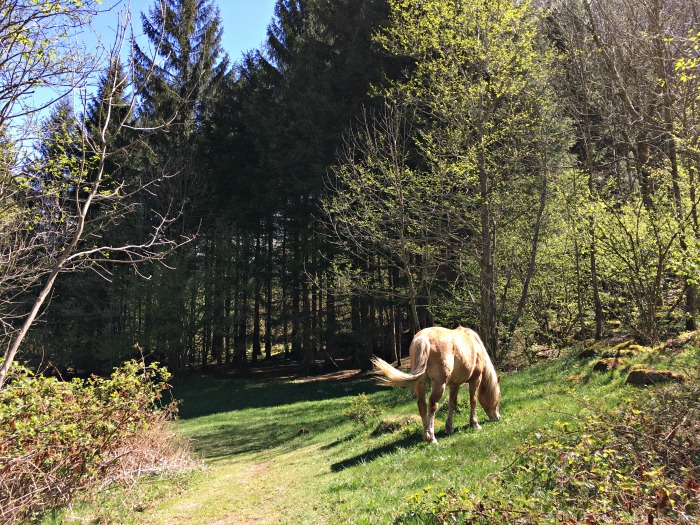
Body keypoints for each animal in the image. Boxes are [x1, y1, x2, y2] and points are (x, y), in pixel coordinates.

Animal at [370, 326, 500, 444]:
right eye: (498, 397)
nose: (497, 417)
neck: (475, 344)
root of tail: (423, 338)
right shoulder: (475, 379)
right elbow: (473, 400)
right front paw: (475, 424)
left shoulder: (454, 384)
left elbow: (452, 403)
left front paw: (449, 428)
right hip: (439, 384)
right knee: (432, 405)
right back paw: (431, 437)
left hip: (420, 381)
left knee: (422, 404)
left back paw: (425, 433)